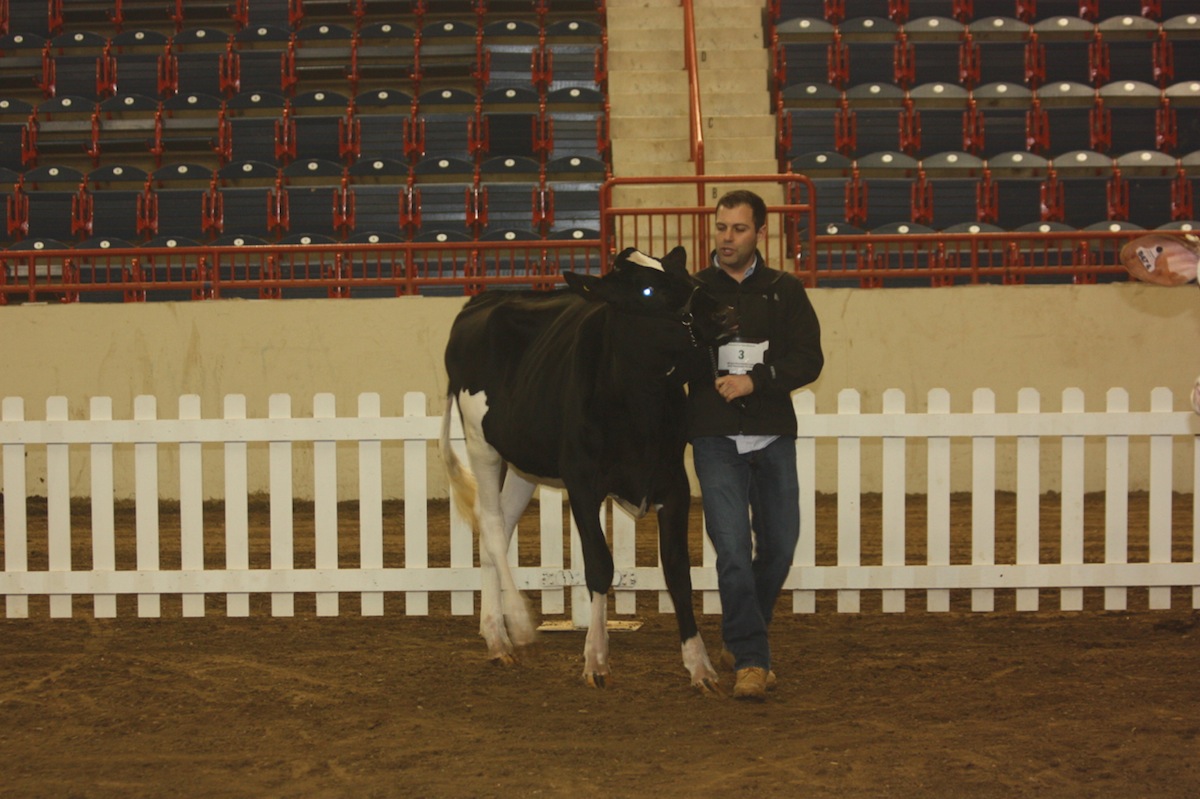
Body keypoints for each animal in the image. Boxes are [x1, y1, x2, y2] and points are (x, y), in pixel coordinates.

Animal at [440, 246, 738, 691]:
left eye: (683, 273)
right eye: (647, 289)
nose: (724, 312)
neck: (640, 406)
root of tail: (481, 299)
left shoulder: (674, 484)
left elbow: (678, 571)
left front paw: (699, 666)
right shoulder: (582, 482)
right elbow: (599, 566)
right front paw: (595, 659)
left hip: (524, 460)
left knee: (501, 527)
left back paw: (496, 636)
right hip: (481, 442)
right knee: (490, 525)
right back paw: (518, 628)